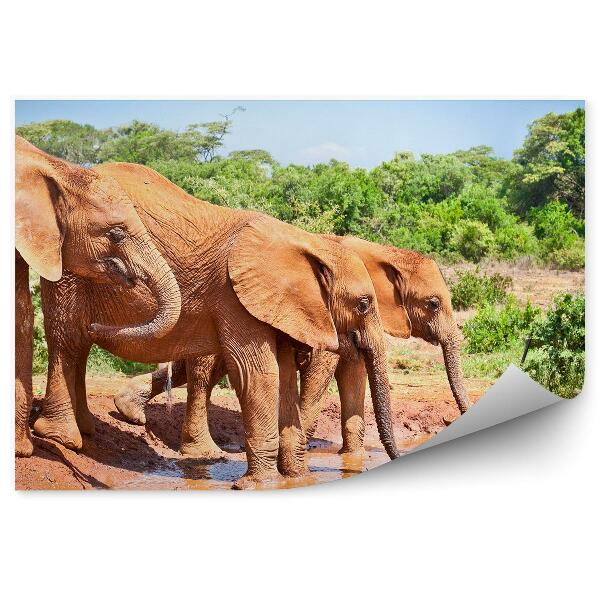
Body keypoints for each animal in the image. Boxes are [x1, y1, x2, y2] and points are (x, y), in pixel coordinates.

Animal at [38, 163, 408, 488]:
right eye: (363, 304)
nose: (394, 457)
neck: (305, 243)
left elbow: (284, 377)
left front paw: (299, 479)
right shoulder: (234, 297)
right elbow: (257, 374)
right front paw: (259, 485)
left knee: (79, 346)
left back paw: (89, 428)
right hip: (68, 265)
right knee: (67, 338)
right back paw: (62, 437)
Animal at [112, 237, 468, 476]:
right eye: (433, 304)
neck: (382, 252)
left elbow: (353, 374)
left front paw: (350, 457)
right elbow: (322, 370)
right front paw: (301, 448)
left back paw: (128, 409)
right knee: (204, 371)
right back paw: (201, 450)